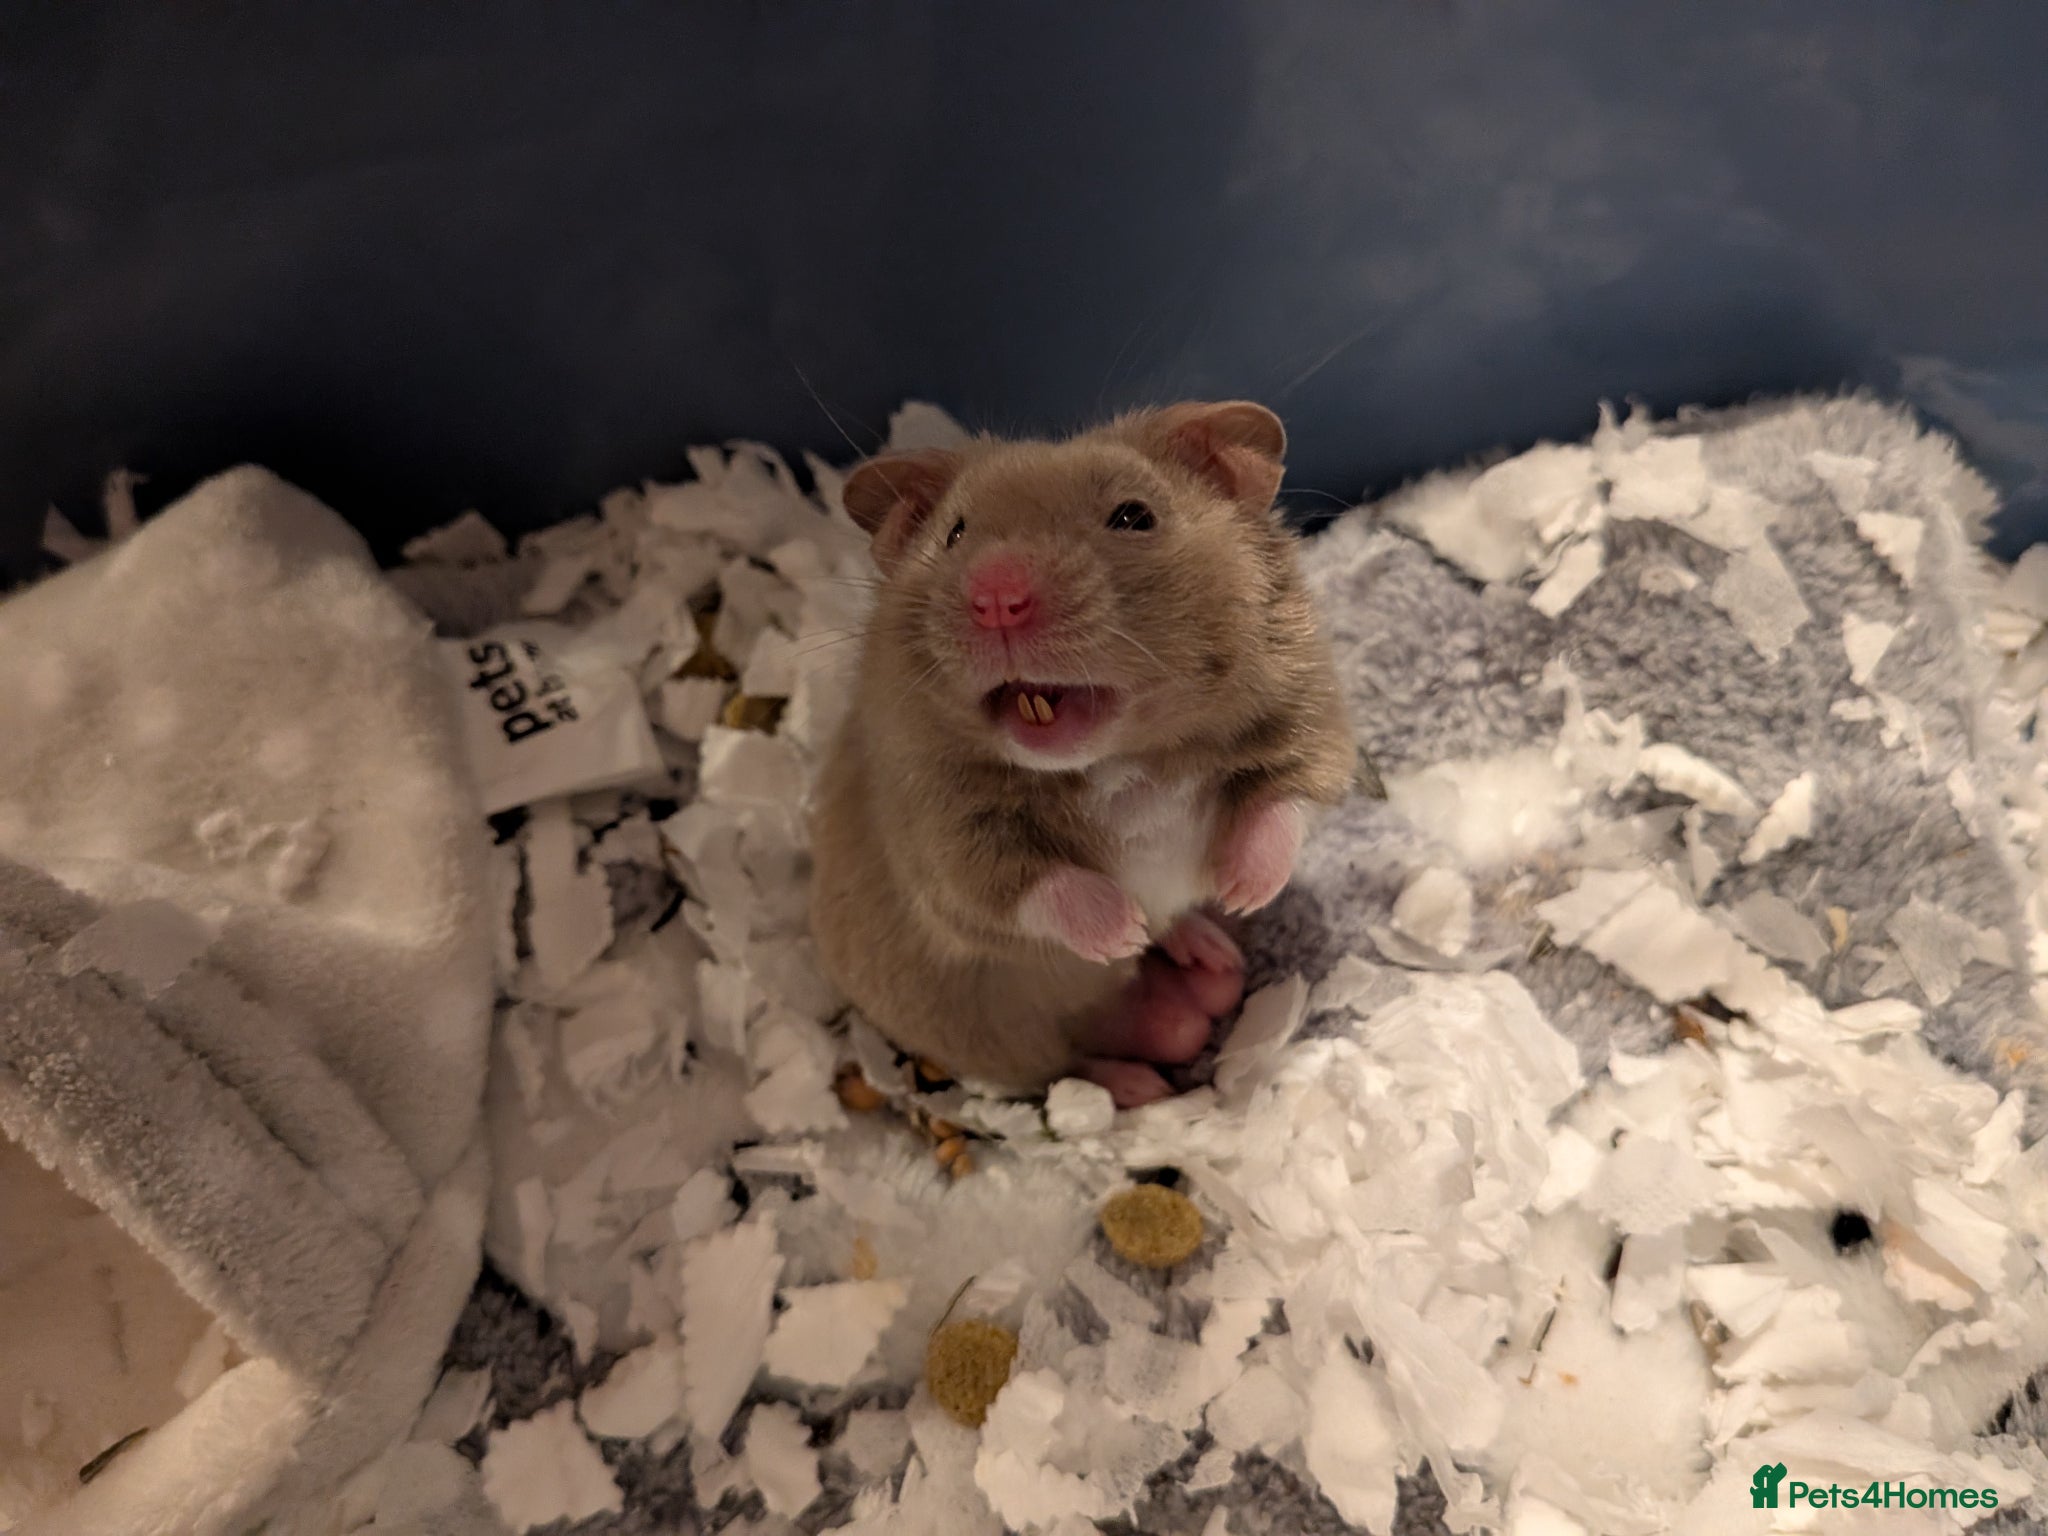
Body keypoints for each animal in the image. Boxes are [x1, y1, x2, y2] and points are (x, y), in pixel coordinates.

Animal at [809, 401, 1355, 1108]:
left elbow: (1288, 796)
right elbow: (1031, 883)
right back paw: (1139, 1067)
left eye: (1134, 516)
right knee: (1065, 1067)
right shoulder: (938, 840)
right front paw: (1124, 928)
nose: (996, 598)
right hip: (1003, 1041)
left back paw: (1210, 951)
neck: (1115, 759)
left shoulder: (1310, 714)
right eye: (955, 534)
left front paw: (1240, 892)